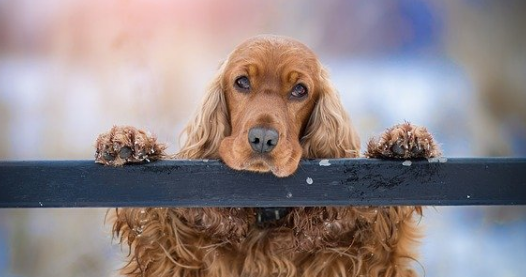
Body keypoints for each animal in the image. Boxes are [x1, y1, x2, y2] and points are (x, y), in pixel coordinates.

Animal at [95, 35, 442, 276]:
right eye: (242, 82)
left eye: (300, 90)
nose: (263, 139)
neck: (266, 216)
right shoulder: (177, 255)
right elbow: (157, 225)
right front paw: (127, 141)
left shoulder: (362, 256)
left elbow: (382, 230)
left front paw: (403, 140)